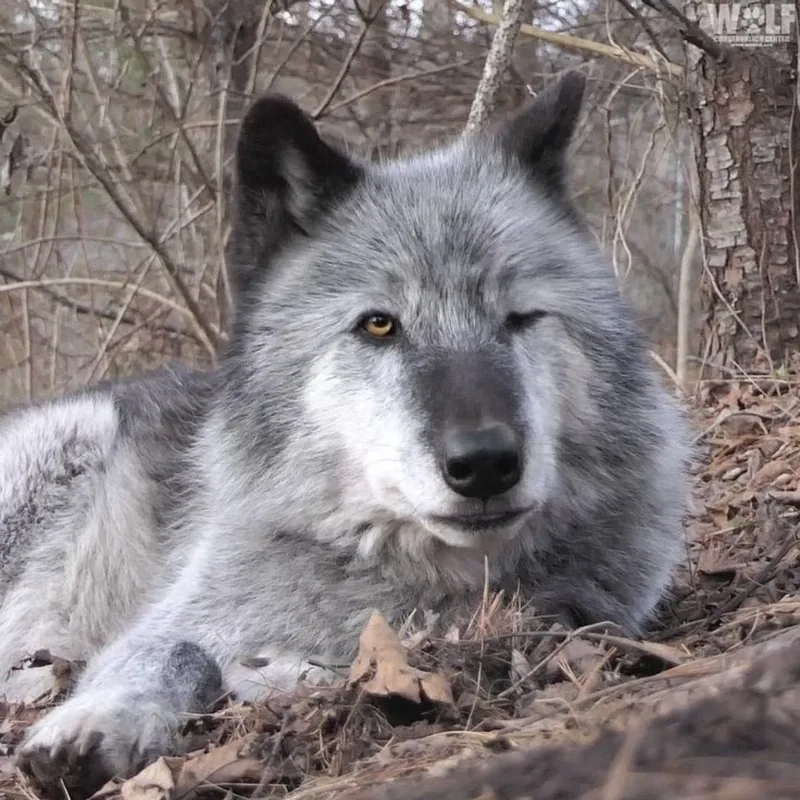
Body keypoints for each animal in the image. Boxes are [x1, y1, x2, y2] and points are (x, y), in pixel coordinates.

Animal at [0, 71, 690, 797]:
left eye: (521, 317)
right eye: (379, 325)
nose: (484, 462)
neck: (391, 577)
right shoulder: (171, 619)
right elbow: (172, 651)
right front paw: (97, 721)